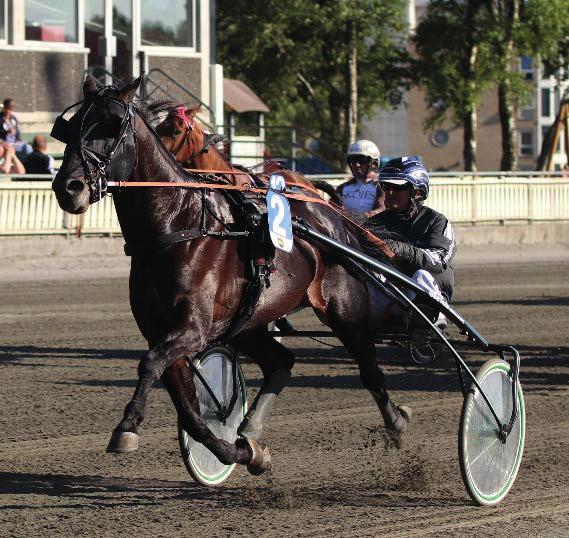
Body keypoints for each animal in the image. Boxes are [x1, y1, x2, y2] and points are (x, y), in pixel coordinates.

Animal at [52, 78, 408, 474]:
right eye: (70, 128)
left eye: (110, 126)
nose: (68, 187)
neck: (180, 224)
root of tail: (329, 214)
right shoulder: (162, 330)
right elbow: (190, 410)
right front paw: (242, 452)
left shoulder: (193, 328)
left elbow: (150, 364)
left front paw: (127, 425)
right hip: (249, 322)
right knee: (281, 362)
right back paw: (249, 430)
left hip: (344, 312)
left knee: (369, 368)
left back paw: (396, 422)